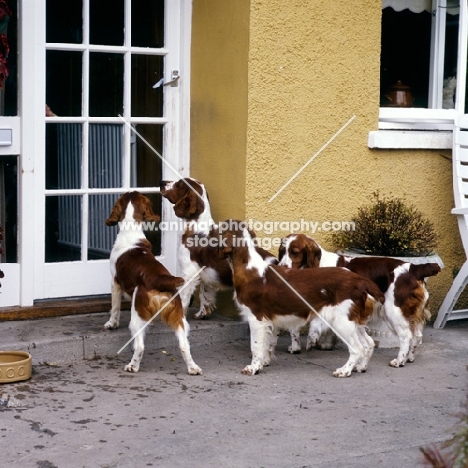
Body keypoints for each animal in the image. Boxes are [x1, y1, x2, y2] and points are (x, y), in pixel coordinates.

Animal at [105, 192, 202, 374]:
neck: (130, 229)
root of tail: (161, 280)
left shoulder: (115, 282)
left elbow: (114, 308)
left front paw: (111, 324)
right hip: (180, 319)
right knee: (184, 346)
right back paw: (193, 368)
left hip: (137, 318)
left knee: (140, 346)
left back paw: (132, 366)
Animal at [160, 178, 276, 318]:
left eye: (178, 184)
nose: (161, 182)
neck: (196, 227)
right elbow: (204, 294)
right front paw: (202, 313)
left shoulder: (189, 271)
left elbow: (184, 297)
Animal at [216, 223, 384, 376]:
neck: (250, 269)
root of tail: (360, 281)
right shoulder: (269, 320)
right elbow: (268, 344)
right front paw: (265, 362)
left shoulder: (256, 318)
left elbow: (256, 346)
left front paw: (253, 368)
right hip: (354, 321)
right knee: (369, 343)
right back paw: (360, 367)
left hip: (342, 322)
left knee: (358, 348)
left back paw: (344, 371)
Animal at [280, 232, 440, 368]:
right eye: (282, 251)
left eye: (295, 252)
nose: (281, 267)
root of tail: (414, 268)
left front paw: (308, 341)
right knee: (417, 336)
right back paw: (408, 358)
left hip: (393, 310)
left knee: (406, 336)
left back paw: (399, 361)